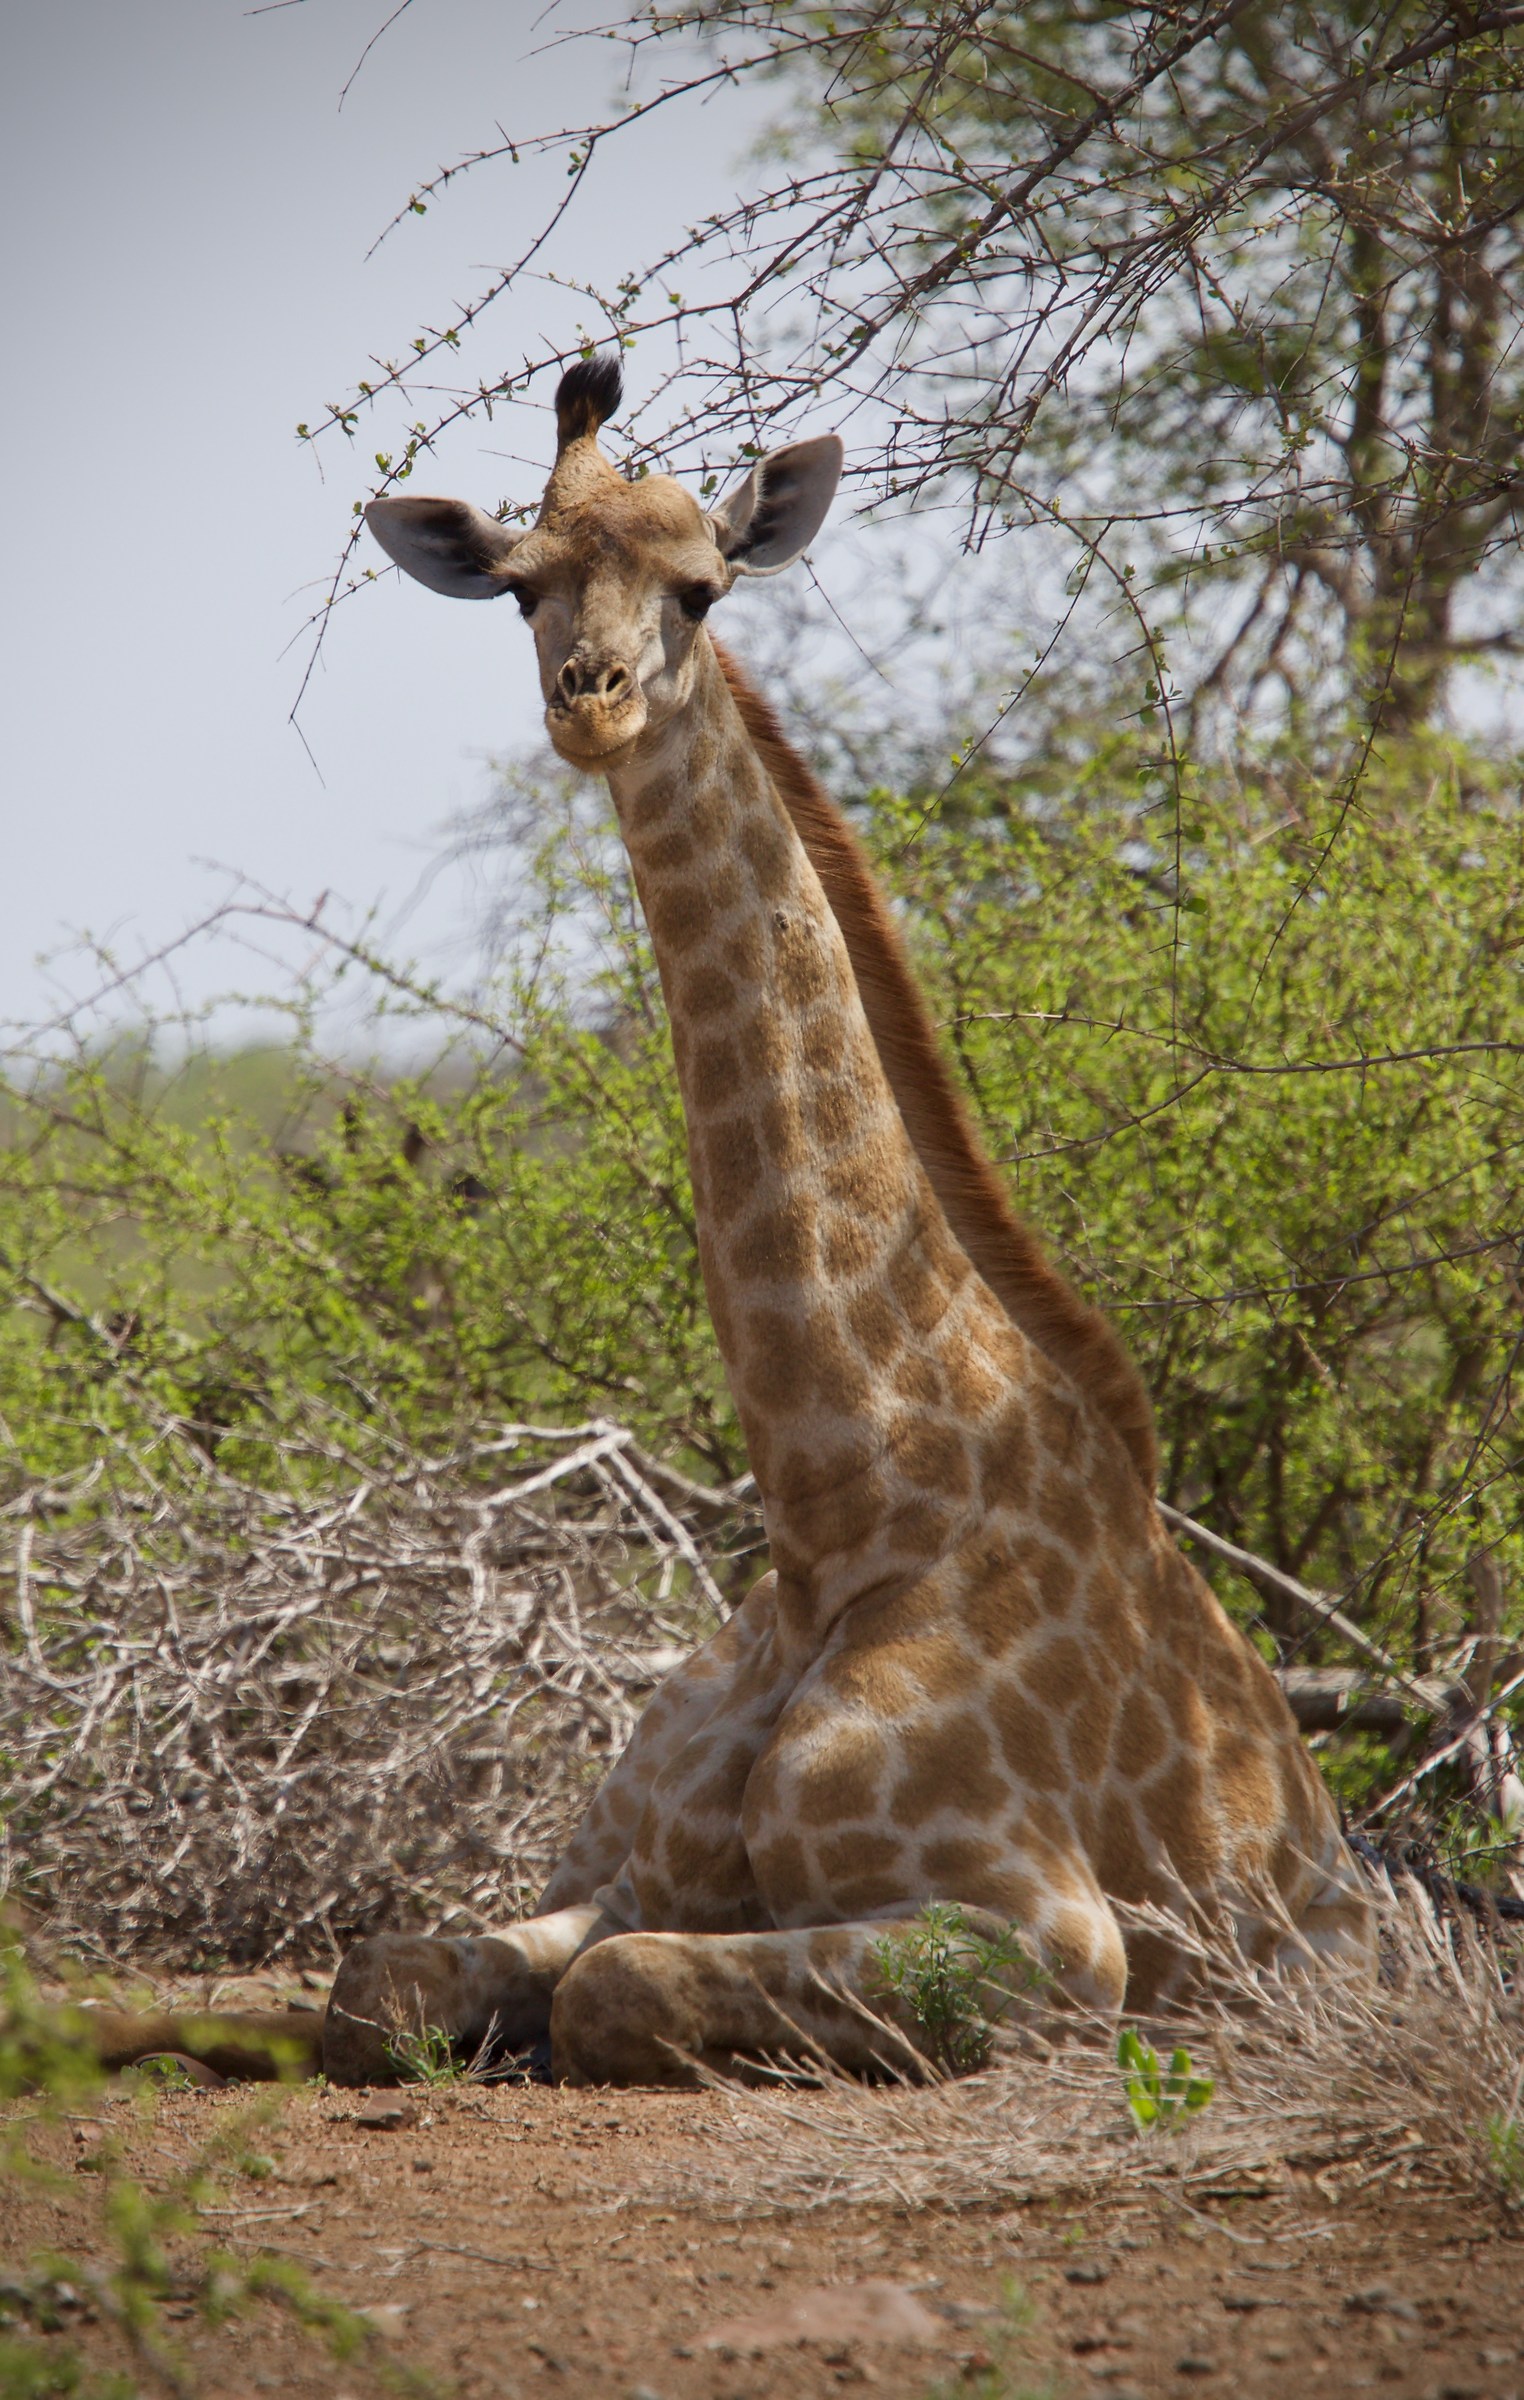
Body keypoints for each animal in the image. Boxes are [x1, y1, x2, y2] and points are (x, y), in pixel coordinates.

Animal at [307, 355, 1374, 2087]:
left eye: (702, 586)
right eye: (520, 586)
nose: (593, 697)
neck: (839, 1510)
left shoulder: (1051, 1932)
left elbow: (616, 1994)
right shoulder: (618, 1869)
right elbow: (381, 1980)